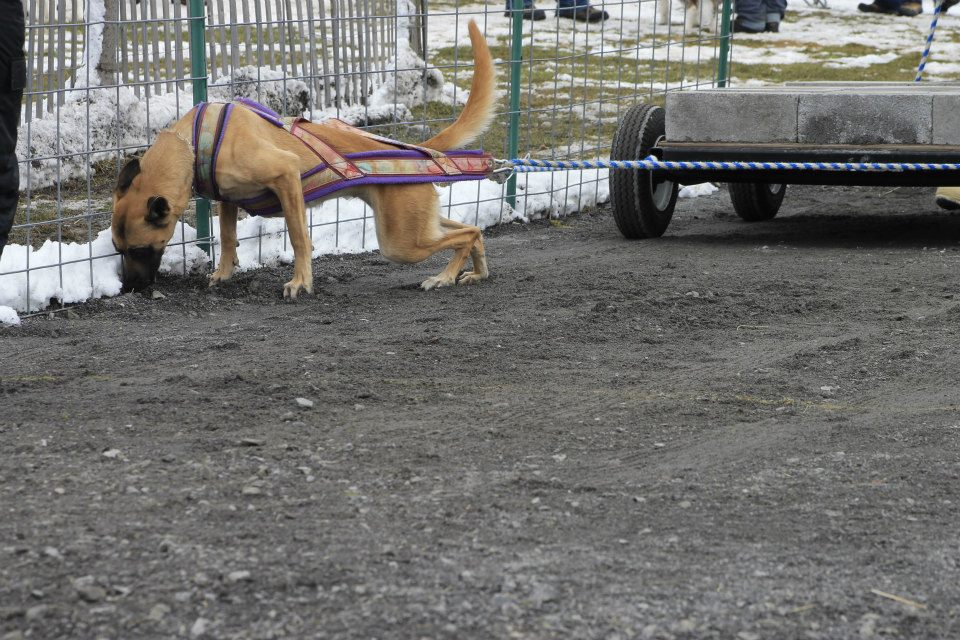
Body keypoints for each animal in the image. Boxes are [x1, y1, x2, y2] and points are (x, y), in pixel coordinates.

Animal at [114, 20, 496, 298]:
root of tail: (418, 149)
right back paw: (476, 273)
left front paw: (301, 282)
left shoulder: (286, 178)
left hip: (401, 242)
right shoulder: (228, 201)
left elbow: (299, 238)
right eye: (118, 249)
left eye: (139, 250)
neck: (192, 145)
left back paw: (444, 277)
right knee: (474, 230)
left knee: (463, 236)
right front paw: (223, 272)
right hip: (417, 225)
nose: (130, 288)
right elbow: (226, 237)